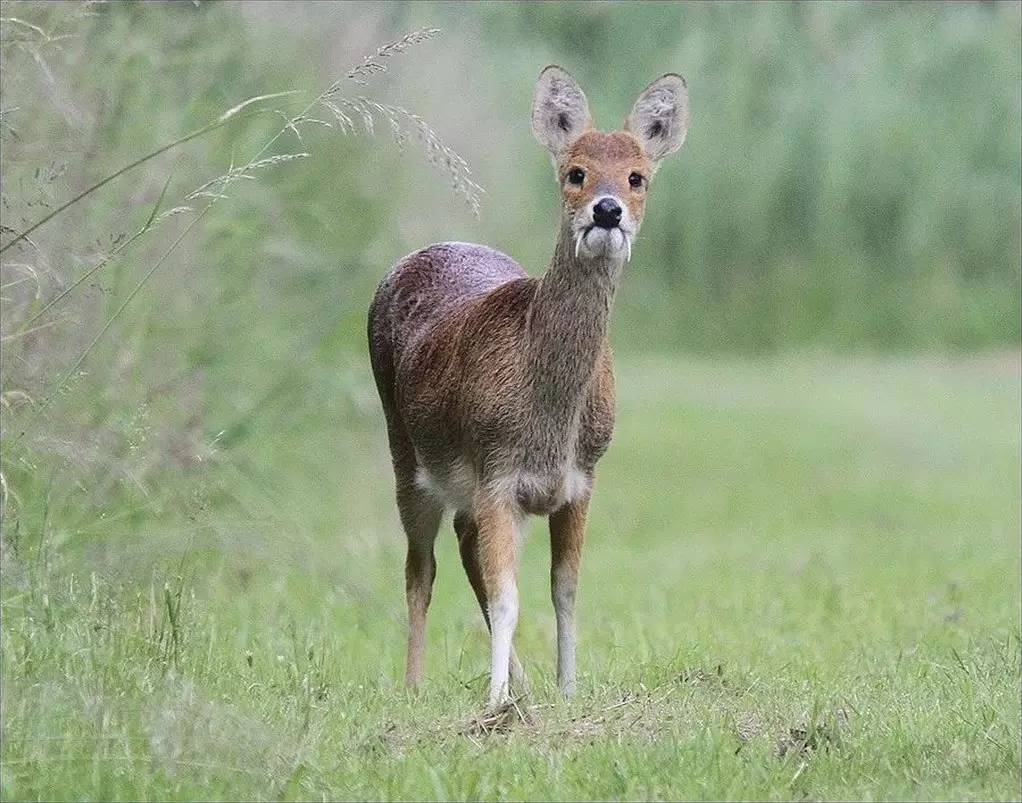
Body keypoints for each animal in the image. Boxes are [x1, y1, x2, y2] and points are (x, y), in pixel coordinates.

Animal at [365, 64, 686, 706]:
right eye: (575, 172)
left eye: (637, 177)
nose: (607, 210)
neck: (549, 420)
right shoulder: (496, 470)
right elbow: (509, 595)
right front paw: (495, 702)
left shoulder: (581, 478)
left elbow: (564, 591)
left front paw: (565, 691)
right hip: (405, 451)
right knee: (420, 568)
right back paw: (415, 684)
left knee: (464, 547)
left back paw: (524, 683)